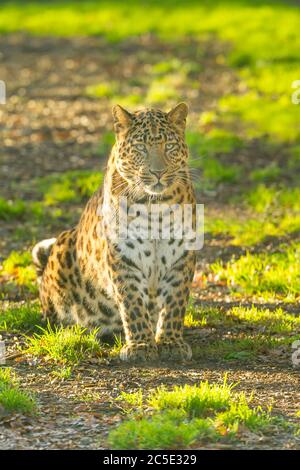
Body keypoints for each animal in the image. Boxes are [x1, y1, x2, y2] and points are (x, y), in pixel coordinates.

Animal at [32, 103, 197, 362]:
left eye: (169, 146)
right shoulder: (123, 258)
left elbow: (174, 303)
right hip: (63, 248)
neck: (155, 206)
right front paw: (141, 346)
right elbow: (133, 305)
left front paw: (171, 342)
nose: (158, 172)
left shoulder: (182, 257)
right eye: (141, 147)